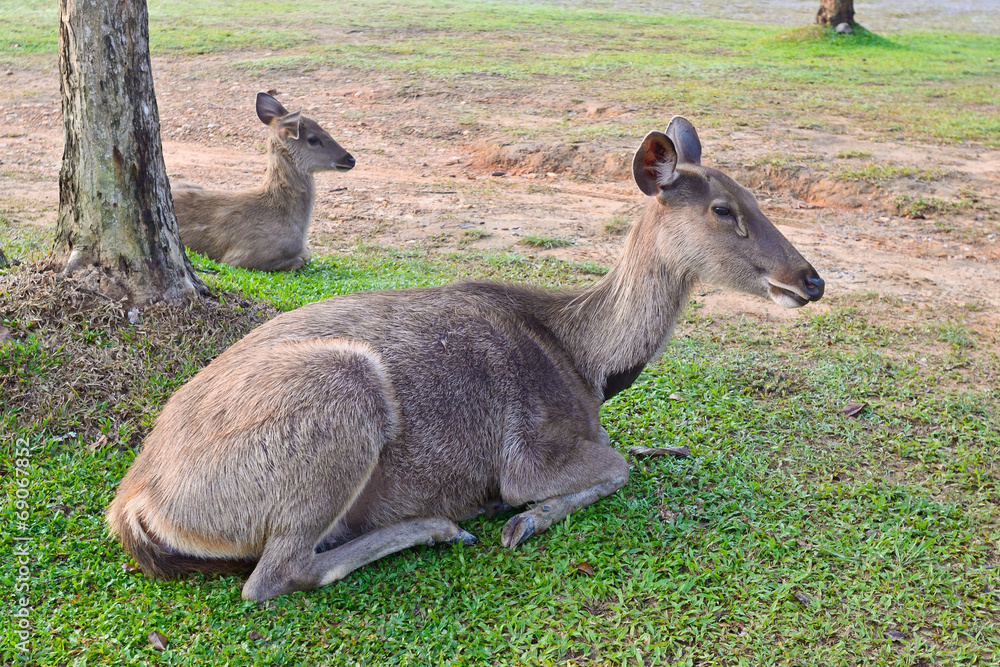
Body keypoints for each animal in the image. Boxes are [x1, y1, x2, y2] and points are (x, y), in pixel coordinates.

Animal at [107, 118, 824, 601]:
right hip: (342, 394)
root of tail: (135, 505)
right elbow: (614, 466)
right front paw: (526, 519)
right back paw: (442, 525)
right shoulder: (530, 452)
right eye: (723, 209)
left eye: (756, 196)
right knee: (274, 575)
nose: (812, 279)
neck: (587, 365)